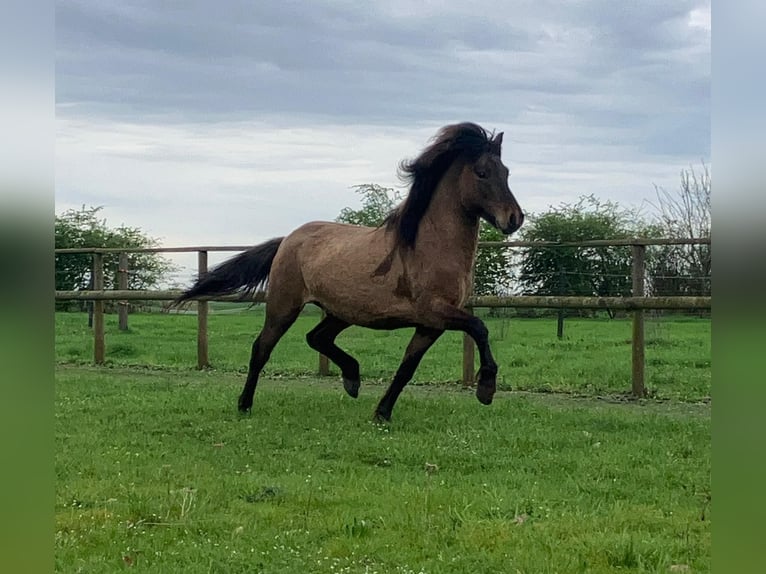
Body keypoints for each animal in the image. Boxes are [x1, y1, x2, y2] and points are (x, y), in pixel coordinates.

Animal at [177, 122, 524, 424]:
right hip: (284, 306)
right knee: (262, 348)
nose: (514, 218)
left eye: (506, 172)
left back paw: (352, 378)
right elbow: (480, 328)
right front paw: (486, 389)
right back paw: (245, 404)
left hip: (341, 311)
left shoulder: (431, 324)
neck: (428, 247)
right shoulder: (436, 311)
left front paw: (382, 414)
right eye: (482, 172)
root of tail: (289, 238)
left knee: (316, 337)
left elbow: (407, 367)